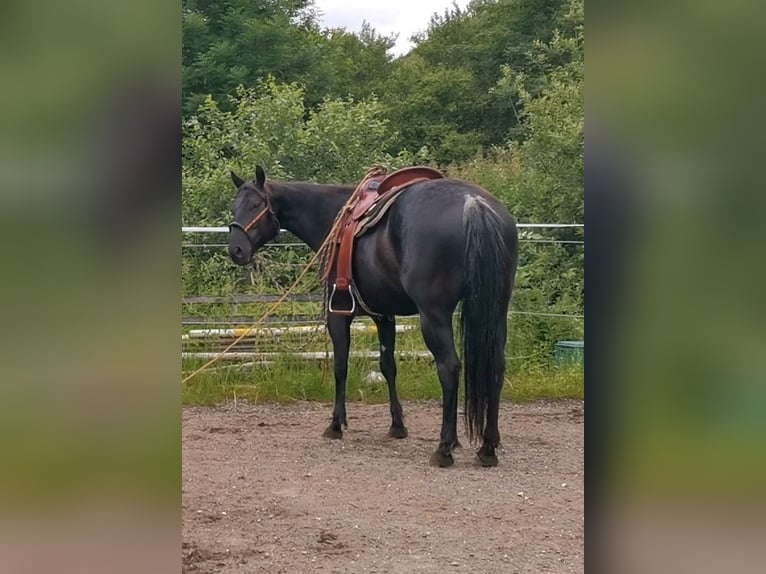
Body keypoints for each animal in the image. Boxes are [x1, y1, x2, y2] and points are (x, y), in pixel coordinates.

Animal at [225, 165, 520, 468]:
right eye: (235, 206)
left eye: (256, 204)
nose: (236, 250)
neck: (331, 216)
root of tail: (475, 204)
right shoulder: (384, 315)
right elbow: (388, 366)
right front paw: (397, 425)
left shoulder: (338, 314)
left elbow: (340, 366)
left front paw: (335, 424)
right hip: (496, 311)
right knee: (496, 367)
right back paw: (487, 447)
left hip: (434, 316)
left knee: (449, 368)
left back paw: (444, 449)